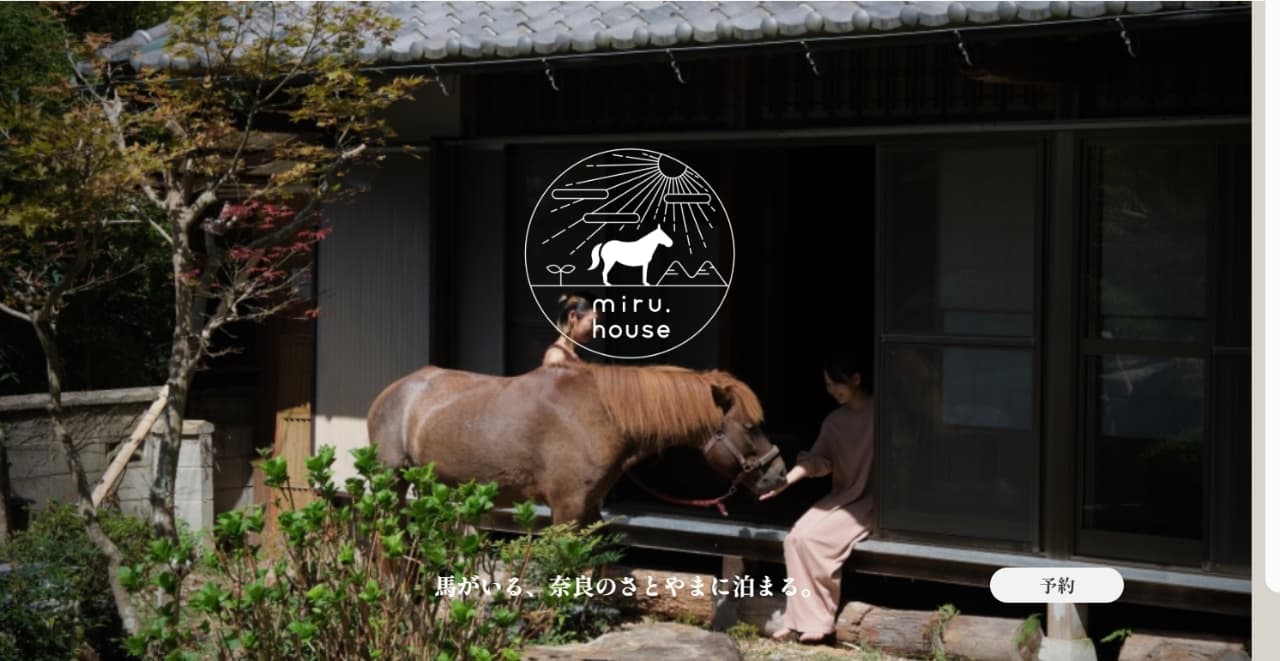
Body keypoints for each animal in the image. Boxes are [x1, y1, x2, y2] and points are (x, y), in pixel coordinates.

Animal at [366, 361, 788, 525]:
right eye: (750, 426)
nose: (779, 475)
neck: (598, 415)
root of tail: (391, 392)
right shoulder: (566, 508)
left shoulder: (589, 509)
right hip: (392, 483)